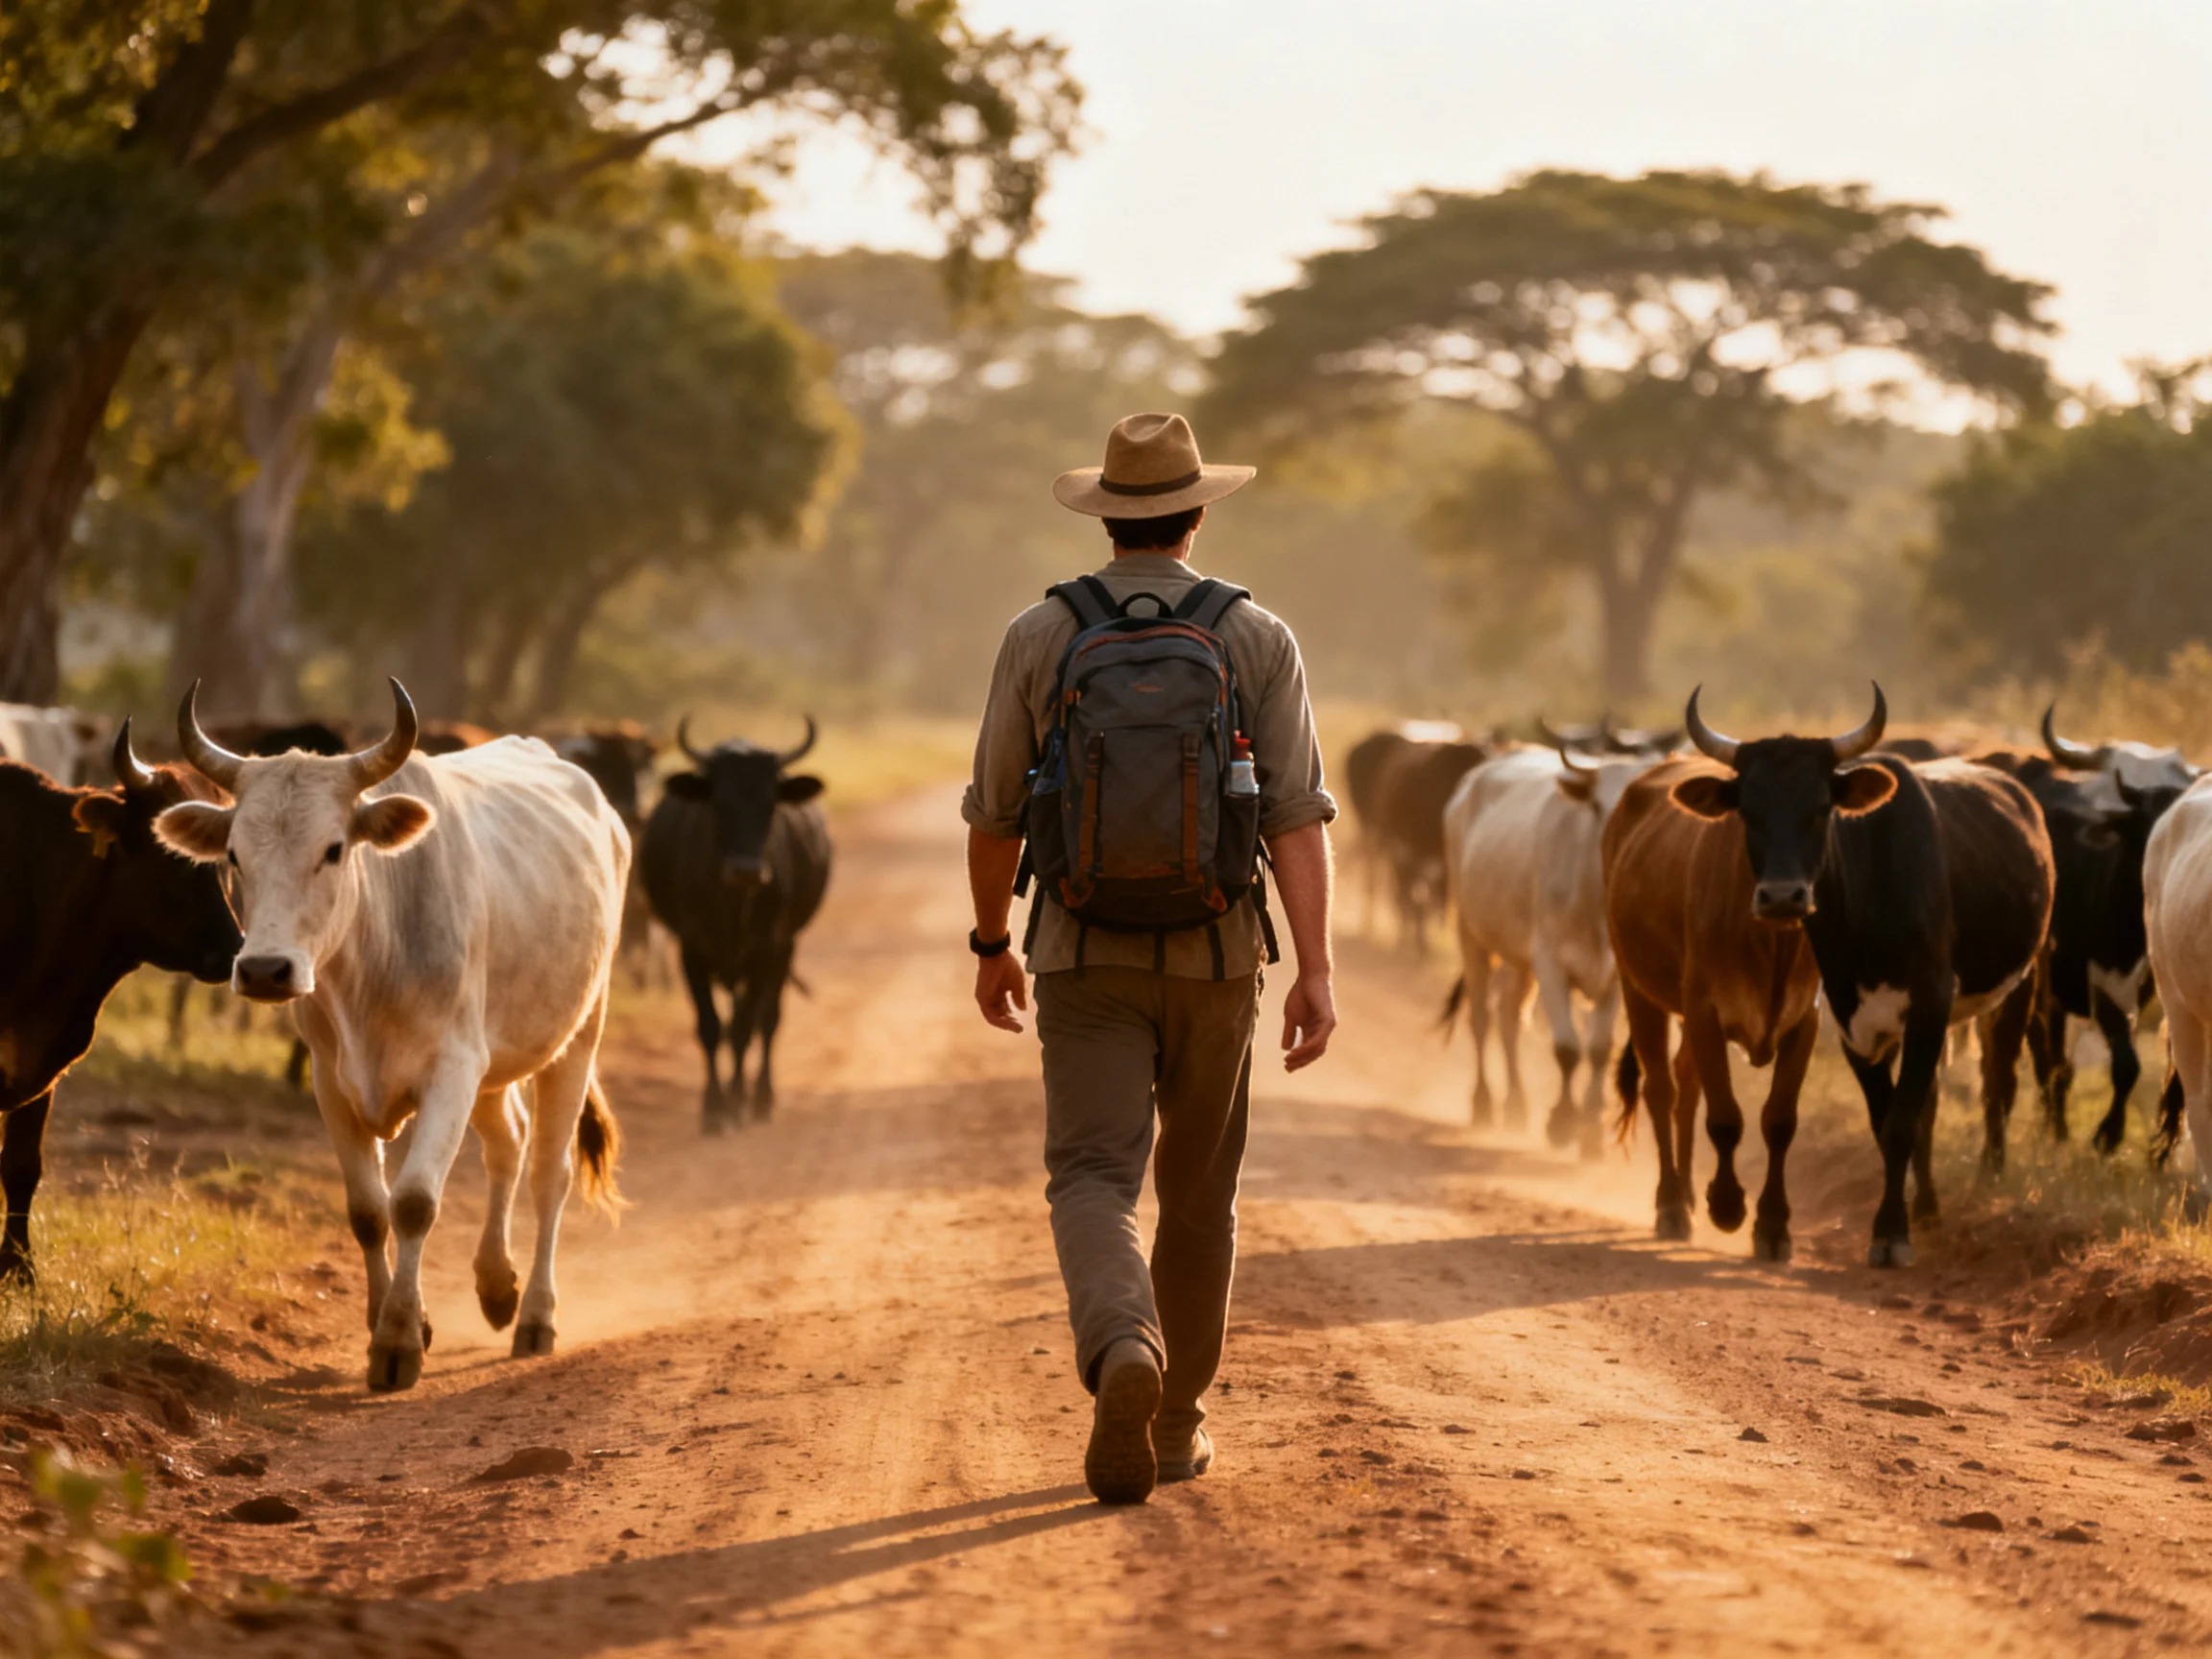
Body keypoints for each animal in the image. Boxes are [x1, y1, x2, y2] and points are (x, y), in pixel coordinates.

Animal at [0, 724, 241, 1278]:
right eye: (173, 855)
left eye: (226, 861)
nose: (234, 949)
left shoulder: (38, 1066)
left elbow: (21, 1166)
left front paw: (20, 1269)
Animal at [155, 680, 629, 1392]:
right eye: (234, 854)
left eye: (333, 849)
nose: (265, 969)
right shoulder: (333, 1082)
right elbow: (368, 1211)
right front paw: (388, 1321)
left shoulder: (451, 1071)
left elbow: (412, 1203)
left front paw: (400, 1340)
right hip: (495, 1065)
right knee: (508, 1146)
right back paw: (497, 1286)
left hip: (576, 1037)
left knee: (550, 1171)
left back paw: (535, 1318)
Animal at [641, 717, 831, 1133]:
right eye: (720, 804)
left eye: (770, 805)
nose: (746, 871)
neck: (732, 904)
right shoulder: (691, 951)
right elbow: (711, 1027)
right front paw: (713, 1108)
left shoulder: (766, 950)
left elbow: (745, 1029)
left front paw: (738, 1102)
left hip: (785, 950)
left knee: (768, 1021)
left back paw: (761, 1099)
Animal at [1442, 742, 1662, 1149]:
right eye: (1597, 806)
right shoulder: (1550, 961)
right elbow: (1567, 1047)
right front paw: (1562, 1122)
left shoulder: (1614, 977)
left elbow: (1598, 1049)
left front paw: (1591, 1132)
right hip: (1471, 934)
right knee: (1480, 1015)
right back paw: (1483, 1104)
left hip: (1517, 957)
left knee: (1509, 1014)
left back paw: (1516, 1105)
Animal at [1610, 689, 2053, 1266]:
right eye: (1747, 812)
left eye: (1821, 810)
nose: (1782, 896)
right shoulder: (1834, 1017)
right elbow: (1734, 1115)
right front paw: (1729, 1206)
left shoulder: (1903, 1007)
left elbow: (1847, 1122)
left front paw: (1877, 1232)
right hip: (1636, 987)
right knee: (1665, 1087)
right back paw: (1674, 1203)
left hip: (2019, 984)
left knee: (1996, 1083)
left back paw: (1978, 1185)